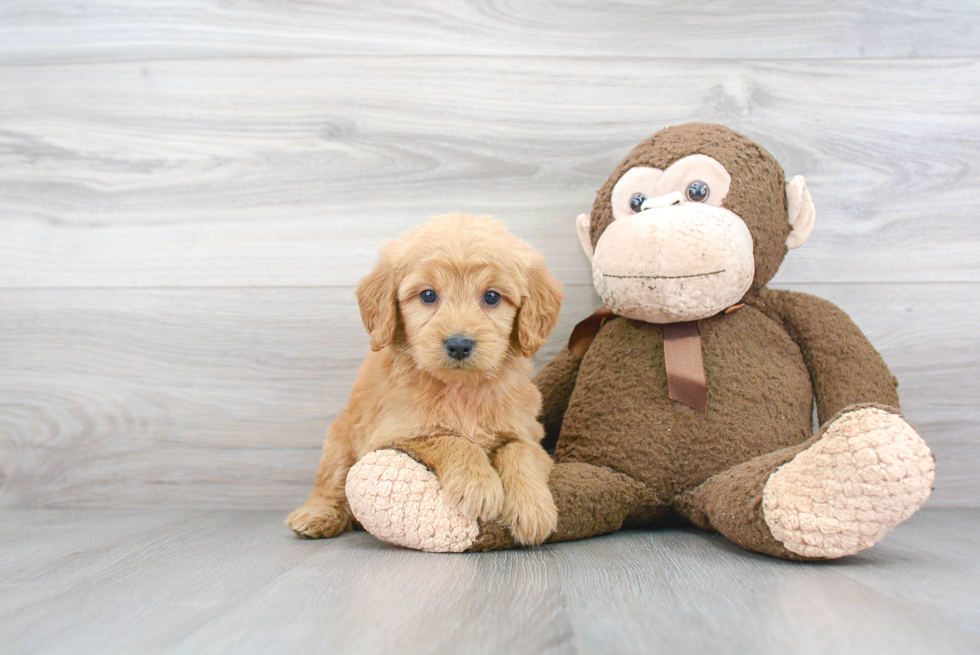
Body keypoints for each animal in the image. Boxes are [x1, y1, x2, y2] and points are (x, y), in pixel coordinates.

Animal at [288, 213, 564, 544]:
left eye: (492, 297)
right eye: (428, 295)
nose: (458, 344)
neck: (460, 390)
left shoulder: (528, 432)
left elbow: (520, 451)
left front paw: (532, 507)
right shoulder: (393, 435)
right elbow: (448, 438)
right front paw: (478, 484)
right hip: (340, 439)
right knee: (331, 483)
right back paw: (316, 515)